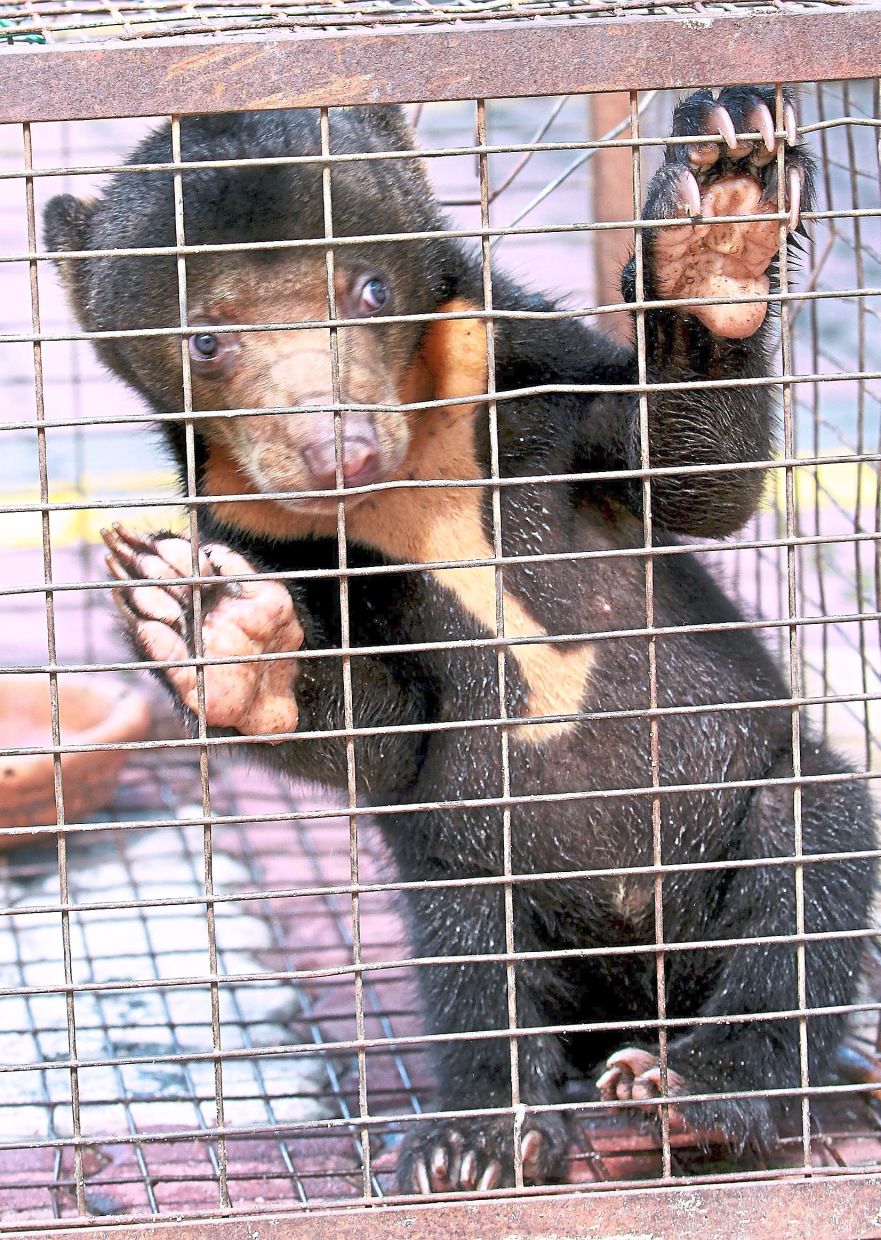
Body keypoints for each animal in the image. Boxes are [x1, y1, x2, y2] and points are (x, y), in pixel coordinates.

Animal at [43, 87, 876, 1193]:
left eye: (367, 286)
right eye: (206, 341)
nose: (336, 449)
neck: (405, 493)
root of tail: (631, 996)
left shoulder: (523, 373)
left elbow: (689, 476)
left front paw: (720, 213)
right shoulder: (251, 514)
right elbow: (387, 728)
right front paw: (211, 623)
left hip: (747, 807)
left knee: (806, 872)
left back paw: (695, 1094)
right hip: (468, 860)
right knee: (474, 965)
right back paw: (480, 1137)